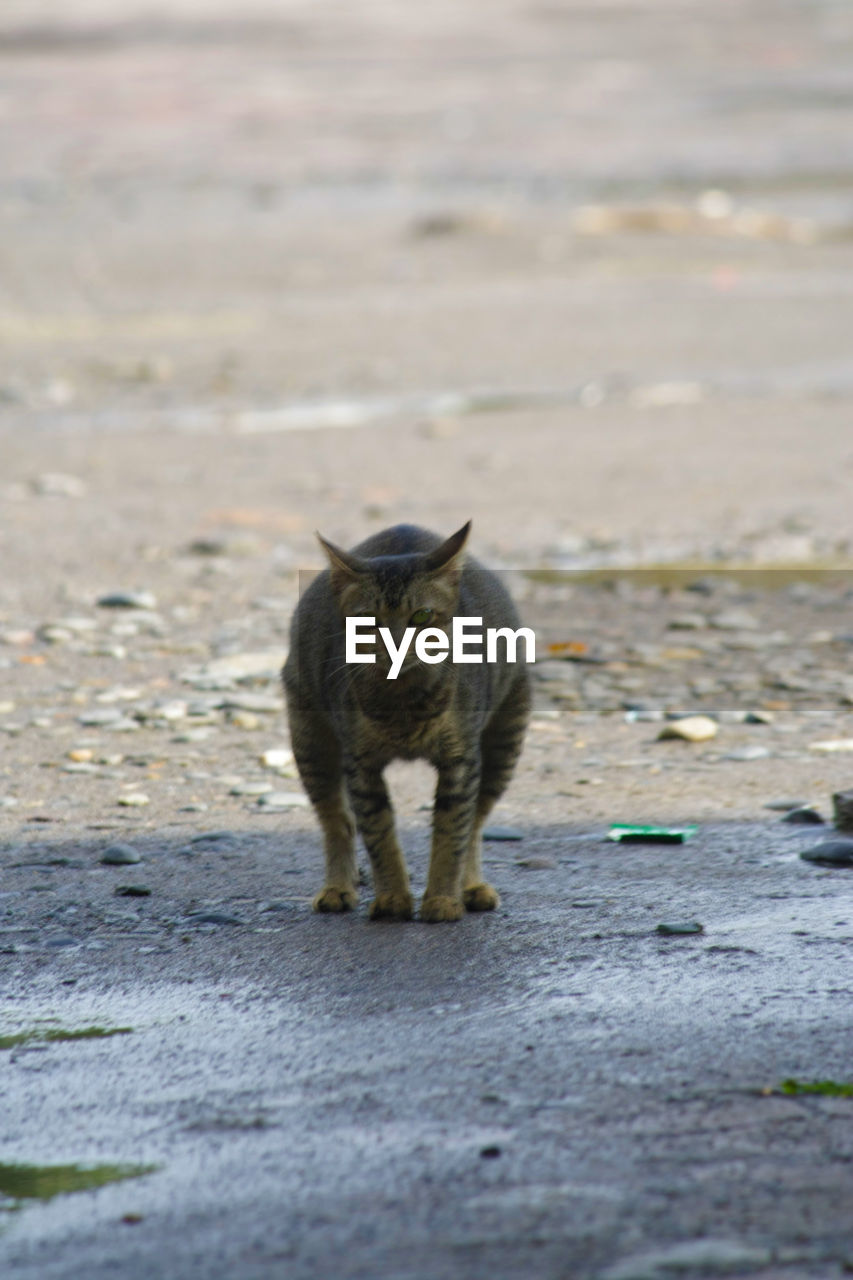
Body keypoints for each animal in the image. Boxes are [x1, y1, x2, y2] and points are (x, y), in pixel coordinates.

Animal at [281, 519, 527, 921]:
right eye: (367, 620)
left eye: (422, 616)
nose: (395, 643)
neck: (404, 706)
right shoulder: (360, 764)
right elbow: (377, 833)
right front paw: (393, 898)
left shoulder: (462, 760)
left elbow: (452, 831)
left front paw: (442, 900)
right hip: (310, 741)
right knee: (337, 821)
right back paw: (337, 888)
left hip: (506, 740)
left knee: (476, 820)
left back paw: (471, 887)